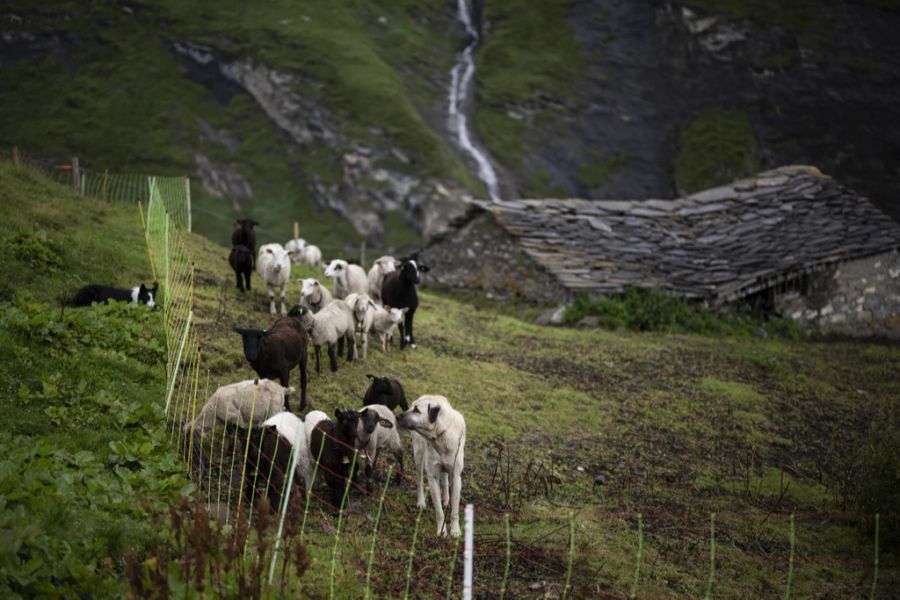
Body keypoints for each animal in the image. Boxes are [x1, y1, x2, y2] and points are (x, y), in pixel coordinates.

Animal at [398, 396, 468, 536]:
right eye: (411, 408)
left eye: (416, 410)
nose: (397, 416)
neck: (441, 434)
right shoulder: (432, 477)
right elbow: (439, 511)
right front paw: (441, 531)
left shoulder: (456, 476)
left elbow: (455, 510)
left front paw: (455, 530)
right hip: (419, 455)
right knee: (419, 479)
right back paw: (421, 502)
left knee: (445, 478)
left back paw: (446, 499)